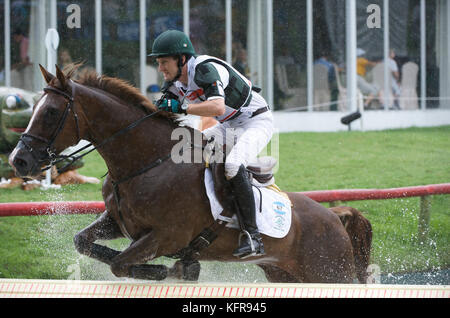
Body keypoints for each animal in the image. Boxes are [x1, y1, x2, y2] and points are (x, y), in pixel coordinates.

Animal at [8, 64, 372, 284]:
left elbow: (120, 263)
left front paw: (164, 270)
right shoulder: (120, 223)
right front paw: (179, 268)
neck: (146, 162)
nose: (18, 161)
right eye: (35, 108)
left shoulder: (167, 235)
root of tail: (335, 216)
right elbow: (86, 244)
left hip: (329, 273)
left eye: (51, 112)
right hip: (285, 274)